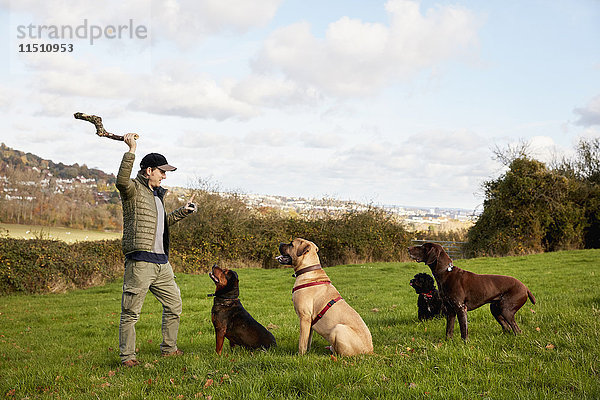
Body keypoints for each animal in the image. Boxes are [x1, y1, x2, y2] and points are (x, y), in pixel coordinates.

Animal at [406, 242, 536, 340]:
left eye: (423, 247)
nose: (408, 248)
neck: (445, 272)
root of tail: (525, 287)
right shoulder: (450, 310)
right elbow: (449, 330)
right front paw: (447, 343)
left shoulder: (461, 308)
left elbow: (464, 330)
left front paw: (465, 344)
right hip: (495, 309)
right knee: (507, 328)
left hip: (506, 310)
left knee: (517, 330)